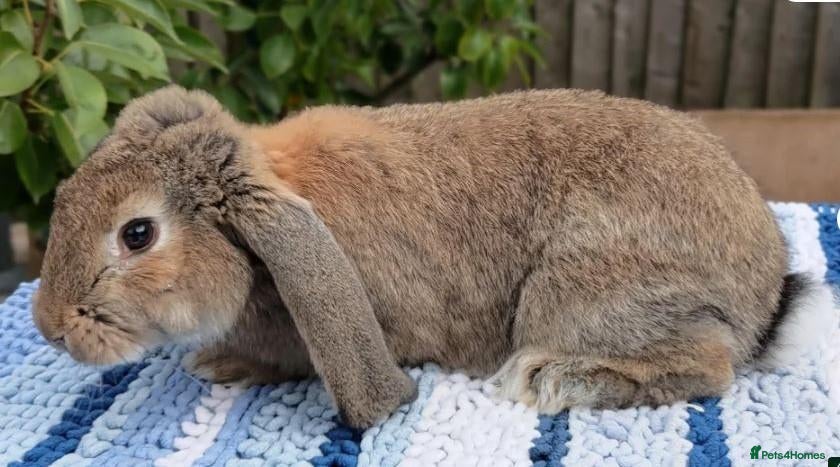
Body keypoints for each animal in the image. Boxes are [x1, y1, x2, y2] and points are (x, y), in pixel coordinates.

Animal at [32, 85, 830, 429]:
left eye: (137, 233)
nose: (48, 327)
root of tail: (765, 298)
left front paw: (220, 363)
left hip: (581, 294)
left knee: (710, 368)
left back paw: (557, 379)